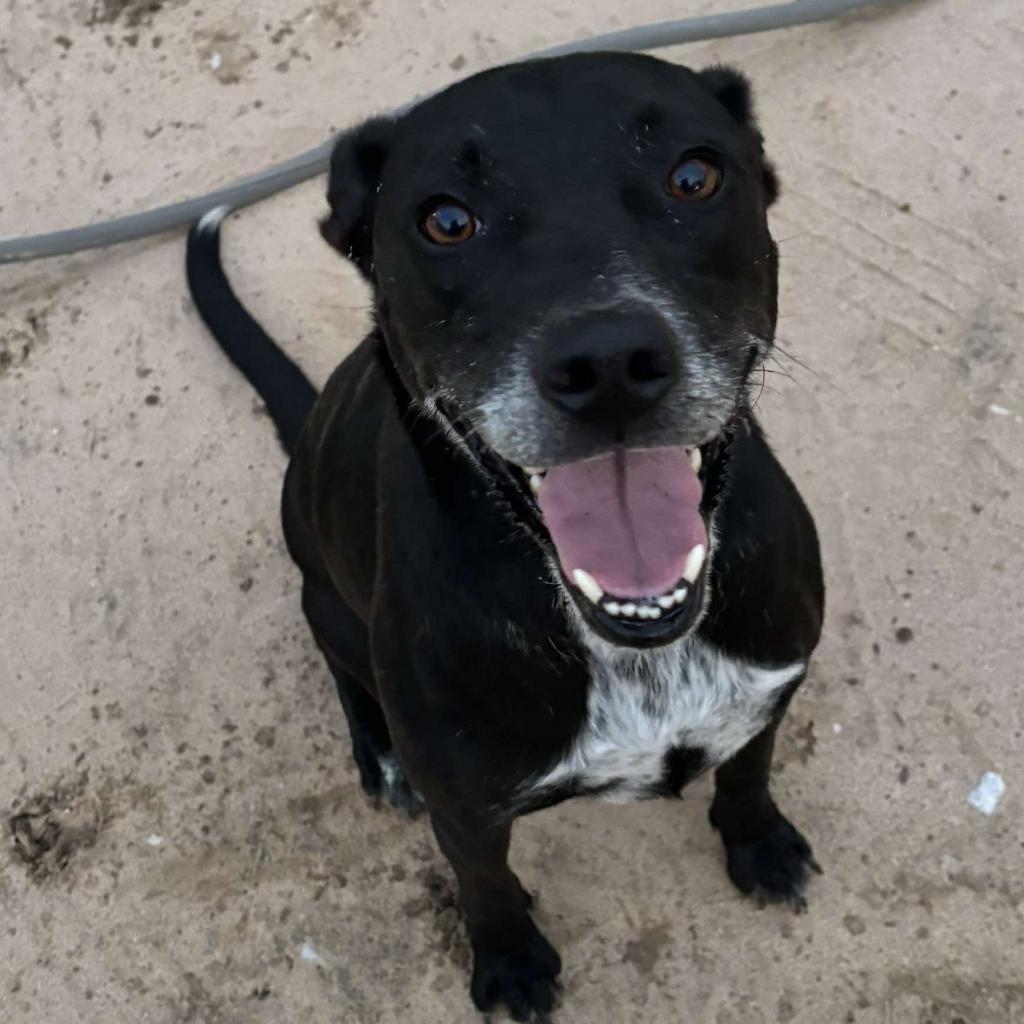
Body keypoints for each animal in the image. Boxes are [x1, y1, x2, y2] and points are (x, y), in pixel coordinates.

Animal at [186, 51, 823, 1019]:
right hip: (326, 600)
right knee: (341, 665)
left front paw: (758, 843)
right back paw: (380, 757)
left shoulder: (769, 692)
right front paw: (512, 963)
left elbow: (748, 770)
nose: (609, 364)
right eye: (447, 220)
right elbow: (483, 886)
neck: (635, 648)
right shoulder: (467, 811)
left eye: (695, 175)